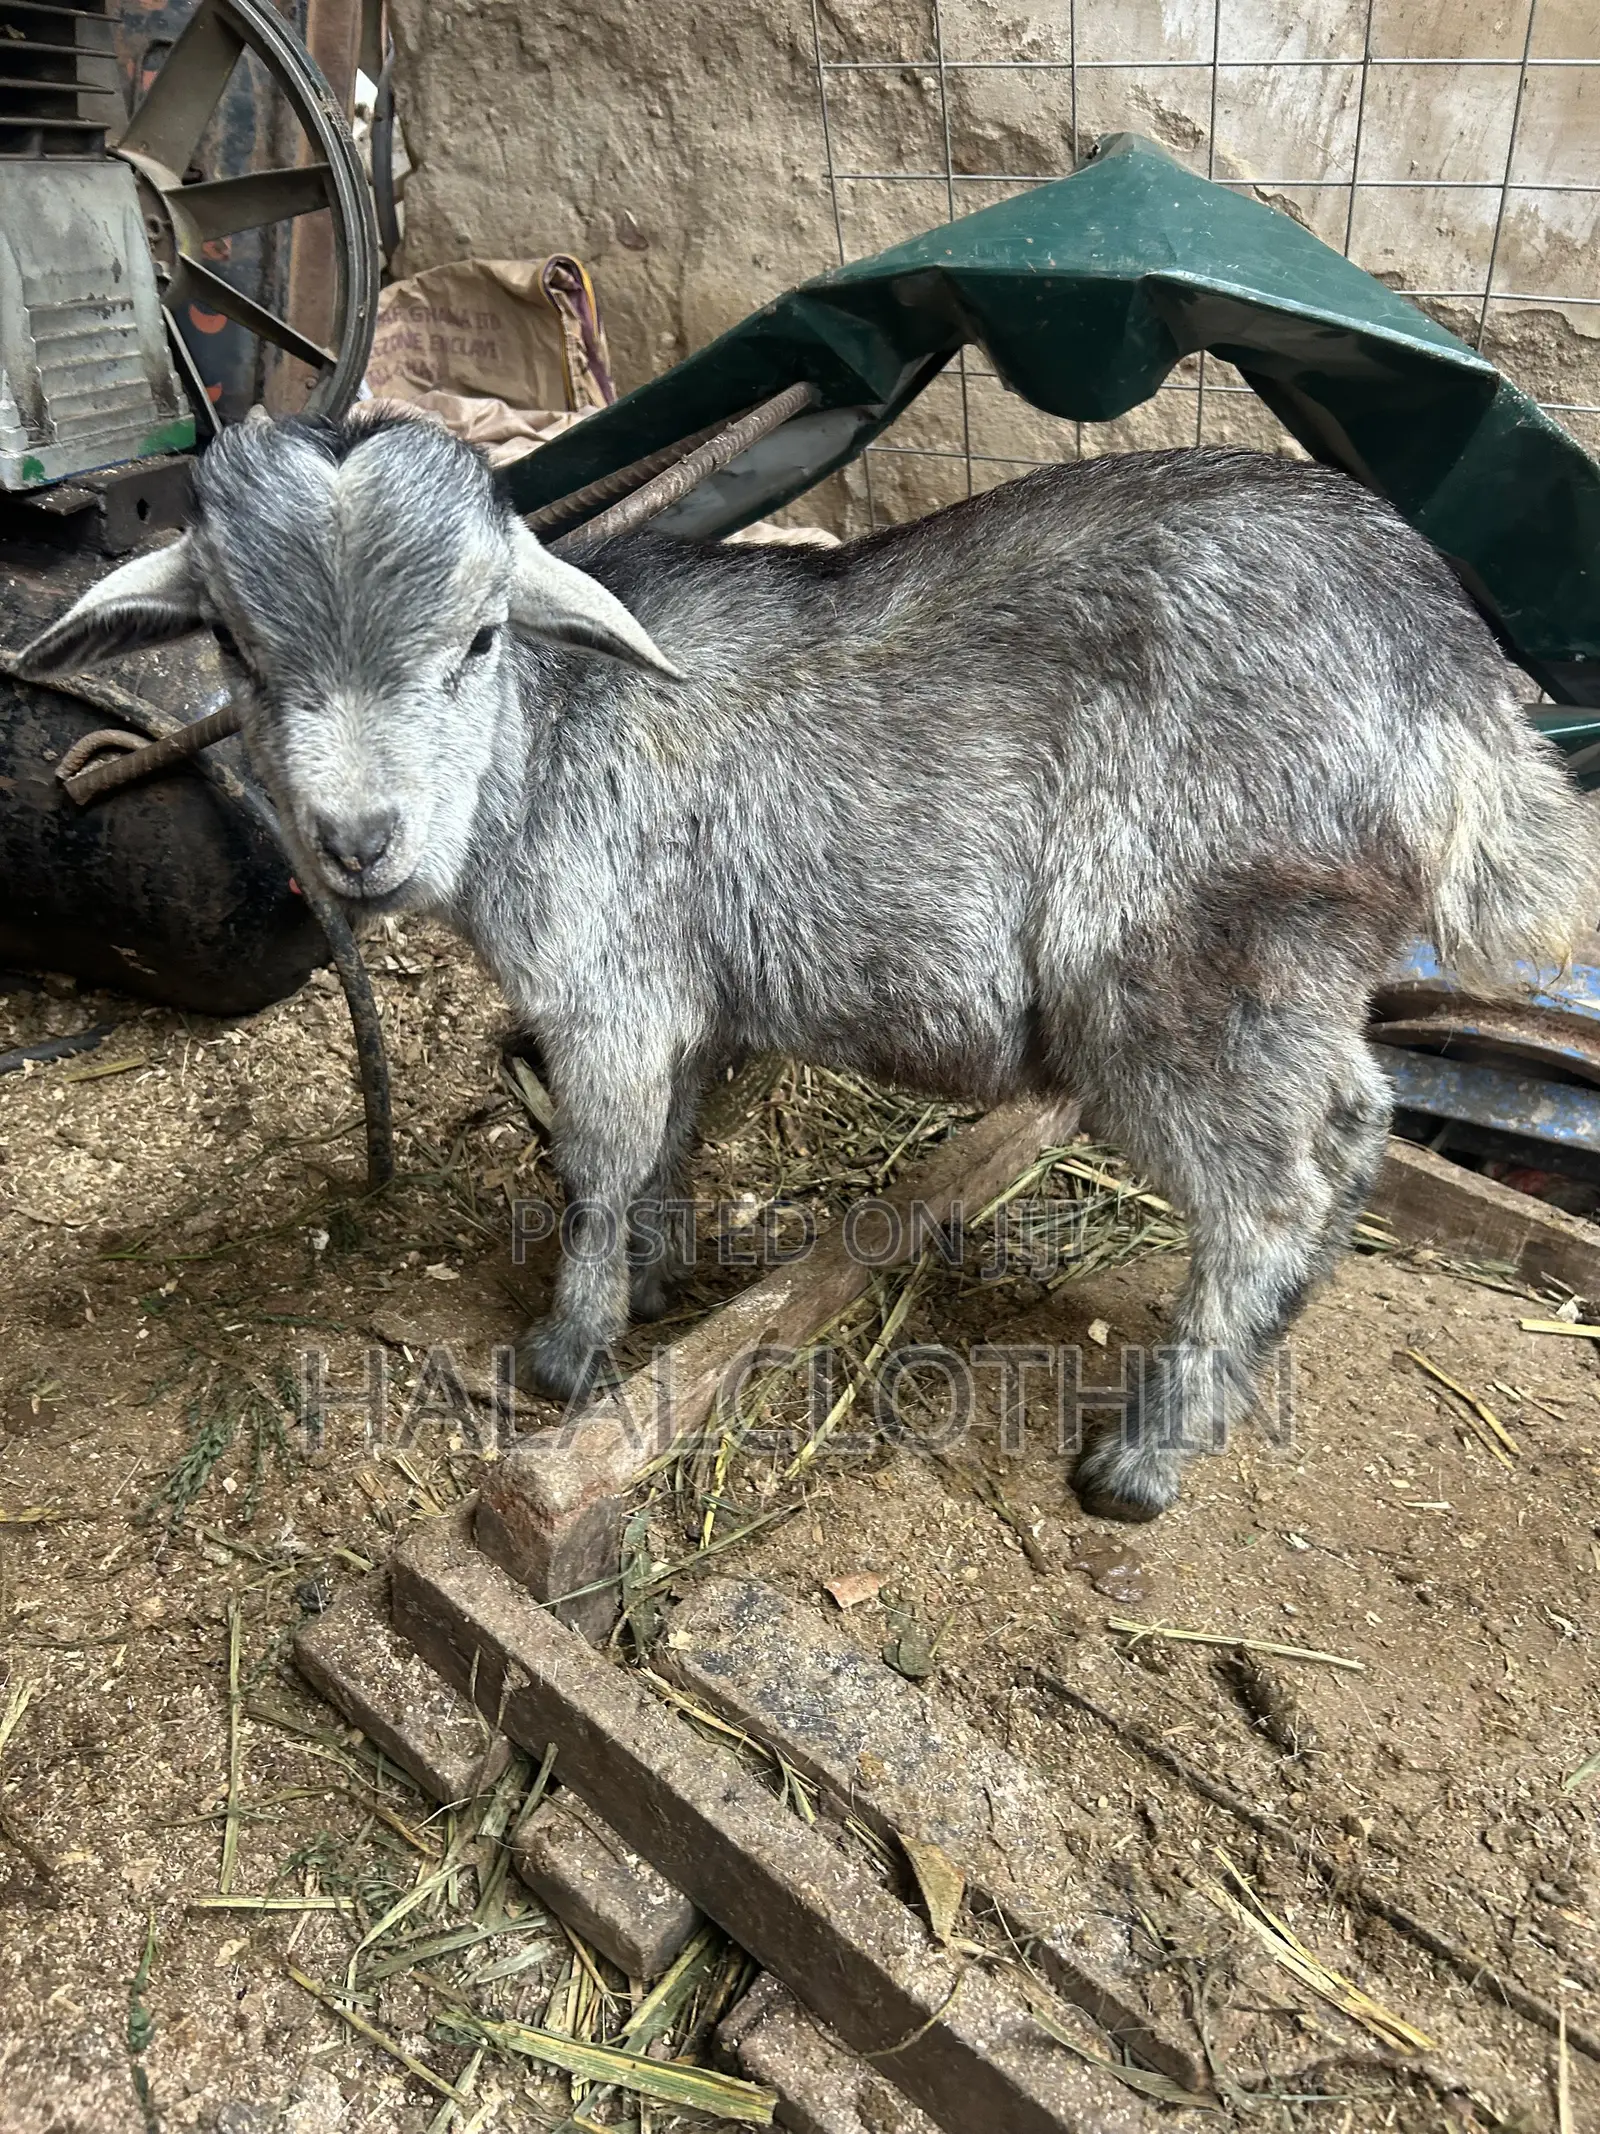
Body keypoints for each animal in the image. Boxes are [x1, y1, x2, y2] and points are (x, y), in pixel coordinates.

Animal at [23, 408, 1598, 1519]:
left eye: (477, 638)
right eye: (233, 645)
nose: (357, 841)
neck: (546, 740)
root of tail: (1460, 700)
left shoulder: (606, 988)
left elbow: (595, 1166)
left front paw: (566, 1354)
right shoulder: (688, 993)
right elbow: (667, 1143)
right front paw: (658, 1280)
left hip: (1183, 972)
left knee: (1267, 1193)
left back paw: (1147, 1457)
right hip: (1296, 974)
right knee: (1354, 1118)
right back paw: (1286, 1318)